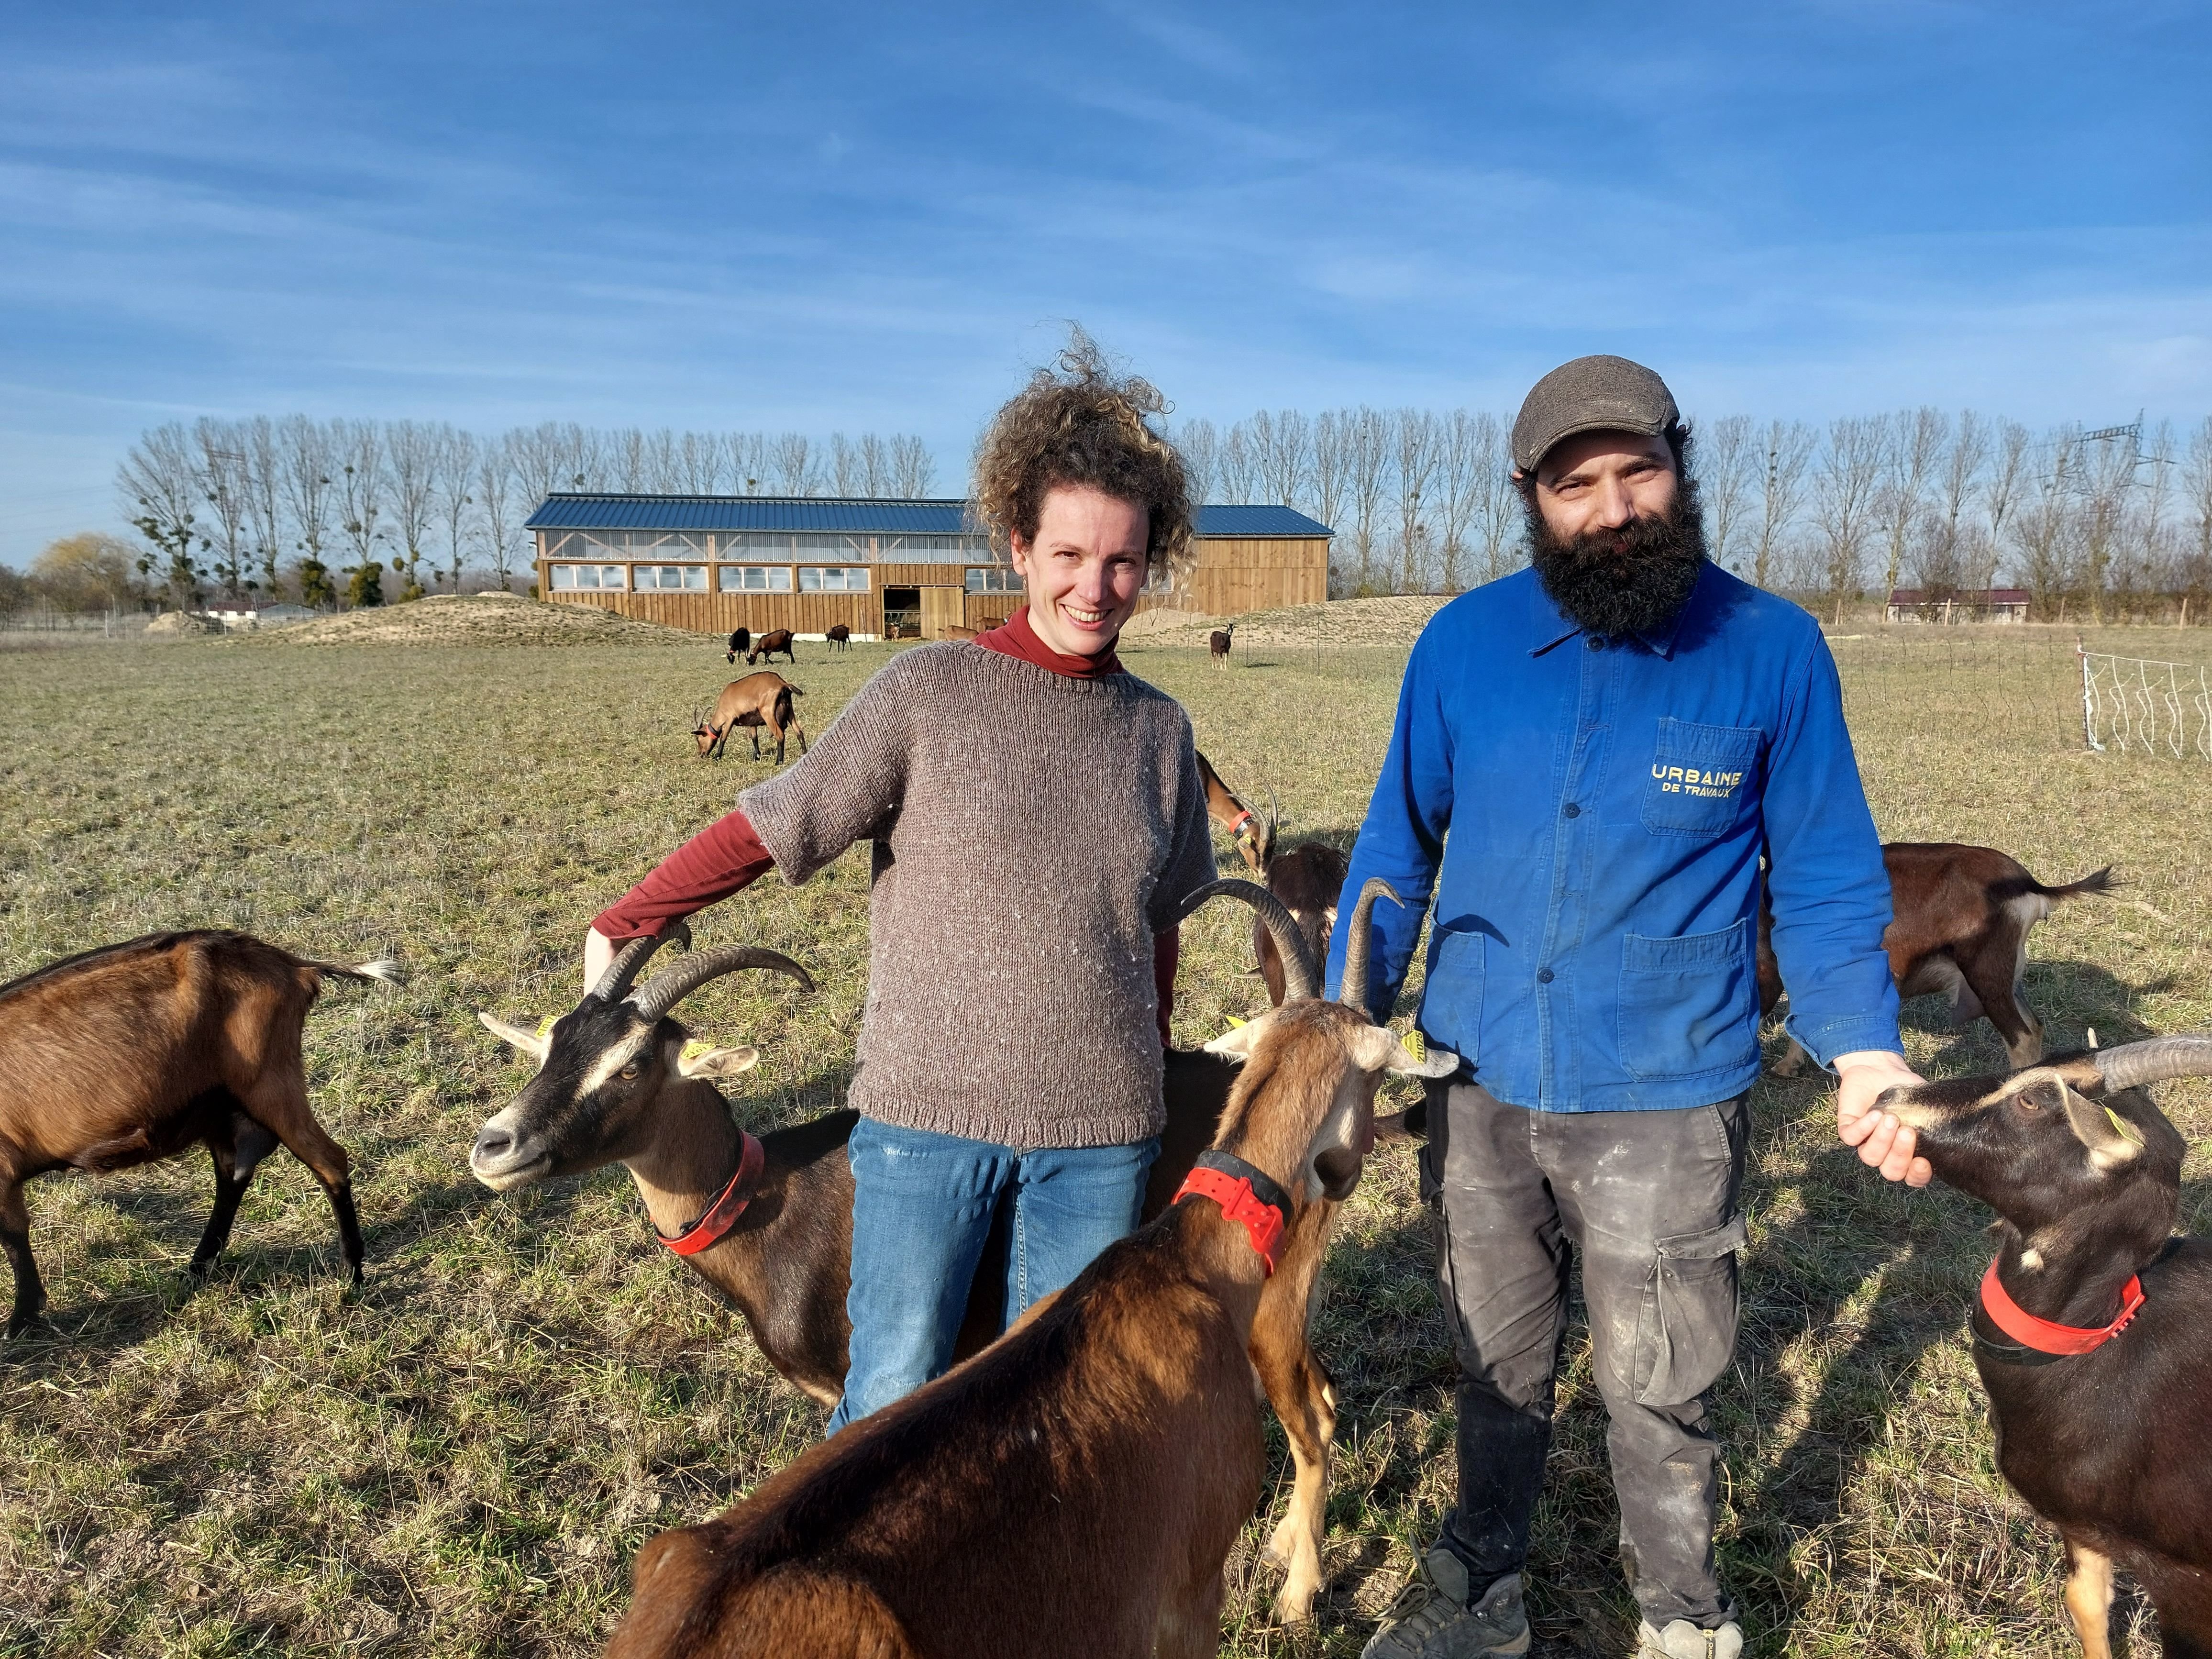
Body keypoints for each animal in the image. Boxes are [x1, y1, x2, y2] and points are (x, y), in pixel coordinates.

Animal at [0, 938, 402, 1336]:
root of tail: (292, 965)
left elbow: (14, 1237)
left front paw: (21, 1320)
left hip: (269, 1084)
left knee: (328, 1160)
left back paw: (352, 1274)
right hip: (220, 1109)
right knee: (235, 1172)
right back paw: (196, 1270)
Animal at [686, 676, 809, 765]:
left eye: (698, 738)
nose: (701, 755)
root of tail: (782, 684)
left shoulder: (730, 719)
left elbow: (723, 738)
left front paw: (717, 757)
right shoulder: (752, 721)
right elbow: (754, 737)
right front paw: (756, 757)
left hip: (768, 713)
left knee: (780, 735)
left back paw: (779, 762)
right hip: (790, 711)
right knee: (799, 732)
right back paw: (804, 754)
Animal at [1760, 845, 2106, 1079]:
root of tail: (2028, 885)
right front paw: (1788, 1065)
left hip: (1986, 974)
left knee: (2021, 1036)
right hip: (2009, 976)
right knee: (2034, 1027)